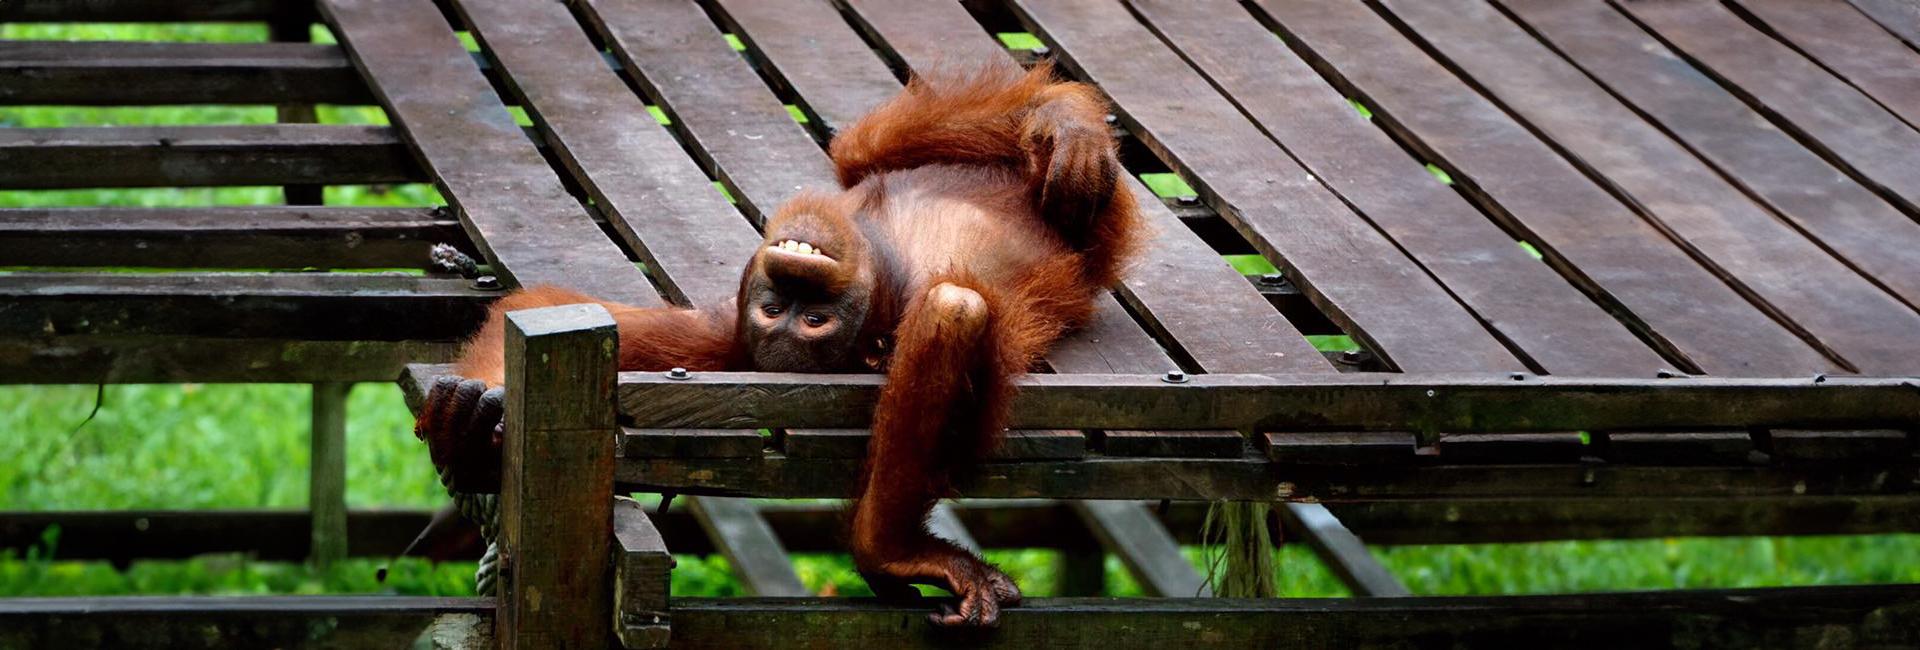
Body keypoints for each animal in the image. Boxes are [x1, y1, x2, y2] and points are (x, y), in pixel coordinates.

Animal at [415, 59, 1141, 627]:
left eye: (809, 316)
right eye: (780, 314)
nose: (794, 283)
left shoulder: (718, 335)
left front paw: (471, 406)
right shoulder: (724, 339)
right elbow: (953, 310)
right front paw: (895, 553)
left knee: (868, 148)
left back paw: (1064, 124)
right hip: (1097, 238)